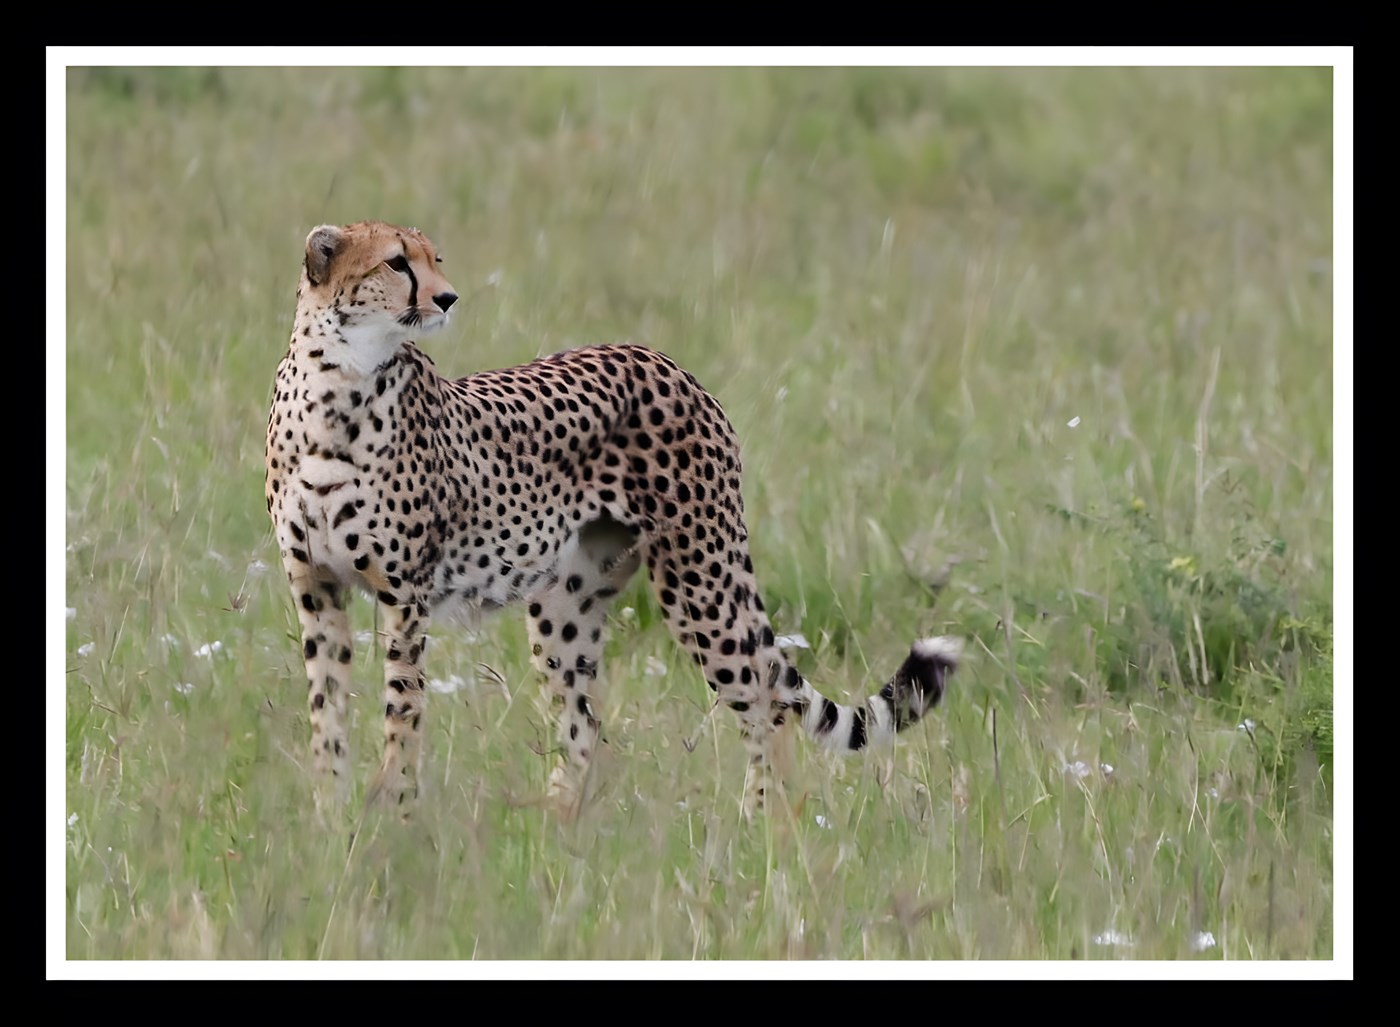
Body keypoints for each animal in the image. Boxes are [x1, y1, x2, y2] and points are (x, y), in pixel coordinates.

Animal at [265, 219, 961, 822]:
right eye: (396, 262)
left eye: (435, 258)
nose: (448, 297)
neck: (338, 383)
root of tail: (662, 359)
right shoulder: (315, 586)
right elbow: (327, 708)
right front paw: (330, 813)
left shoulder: (403, 592)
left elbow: (401, 708)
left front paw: (395, 812)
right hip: (566, 605)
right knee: (586, 725)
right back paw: (555, 827)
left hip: (699, 579)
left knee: (768, 699)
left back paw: (763, 823)